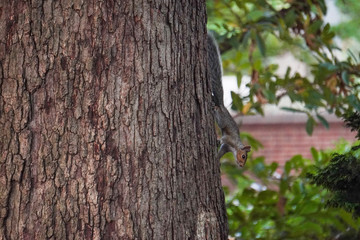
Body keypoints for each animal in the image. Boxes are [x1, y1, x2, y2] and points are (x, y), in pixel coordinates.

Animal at [207, 32, 252, 167]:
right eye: (243, 156)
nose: (241, 166)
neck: (235, 146)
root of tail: (223, 107)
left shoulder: (226, 147)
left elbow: (221, 152)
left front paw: (217, 160)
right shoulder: (229, 140)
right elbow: (223, 139)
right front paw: (217, 141)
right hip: (222, 119)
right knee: (220, 118)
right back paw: (215, 108)